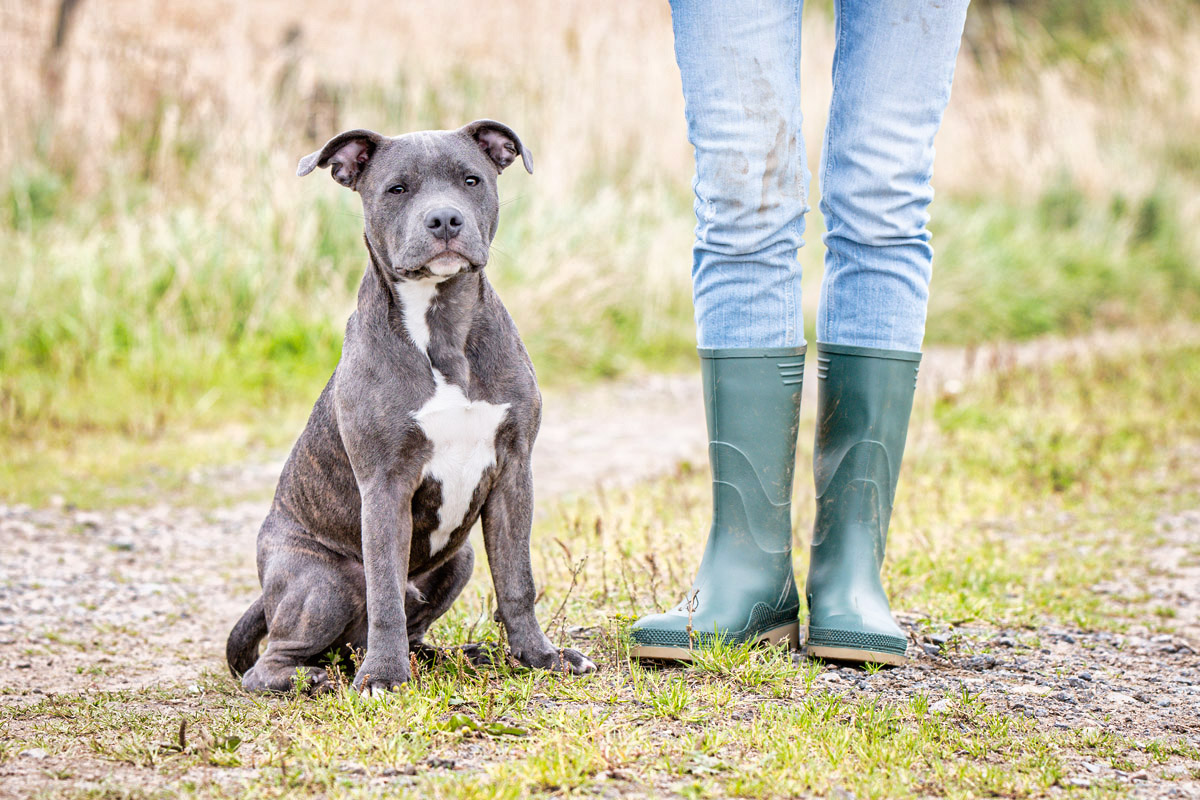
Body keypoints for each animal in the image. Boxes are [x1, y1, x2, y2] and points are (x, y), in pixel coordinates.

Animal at [225, 120, 595, 695]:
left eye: (471, 180)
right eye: (396, 188)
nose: (444, 219)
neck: (440, 325)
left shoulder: (513, 471)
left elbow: (517, 580)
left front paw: (541, 658)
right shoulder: (385, 486)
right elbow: (384, 595)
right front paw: (383, 678)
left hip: (460, 558)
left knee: (406, 626)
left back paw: (457, 656)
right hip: (323, 583)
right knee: (270, 664)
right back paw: (320, 677)